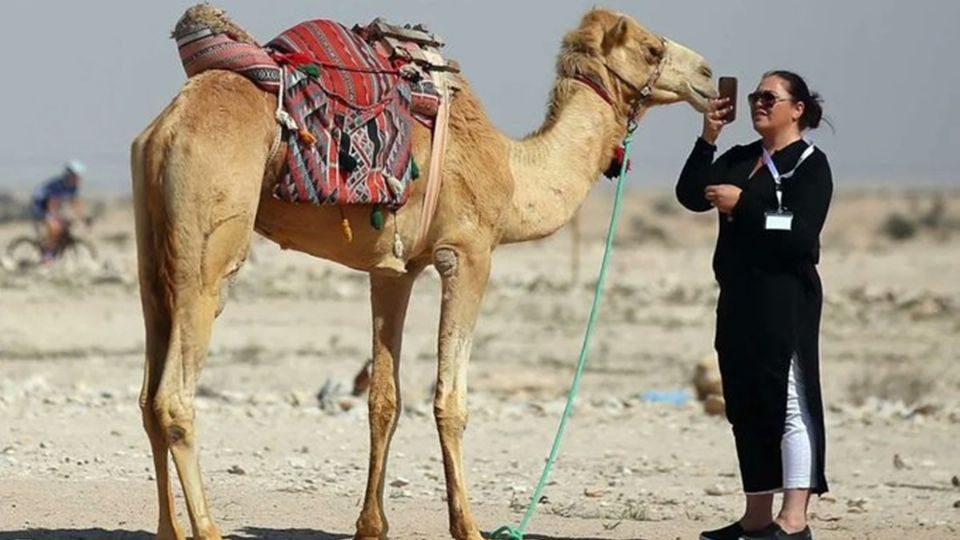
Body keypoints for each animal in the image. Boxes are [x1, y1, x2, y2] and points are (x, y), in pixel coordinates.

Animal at [132, 5, 716, 540]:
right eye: (651, 48)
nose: (710, 76)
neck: (511, 172)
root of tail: (166, 128)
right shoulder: (468, 252)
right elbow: (450, 400)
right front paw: (468, 526)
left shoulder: (395, 270)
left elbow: (383, 399)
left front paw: (371, 526)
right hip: (211, 243)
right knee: (176, 398)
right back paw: (207, 530)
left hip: (153, 253)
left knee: (147, 396)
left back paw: (168, 530)